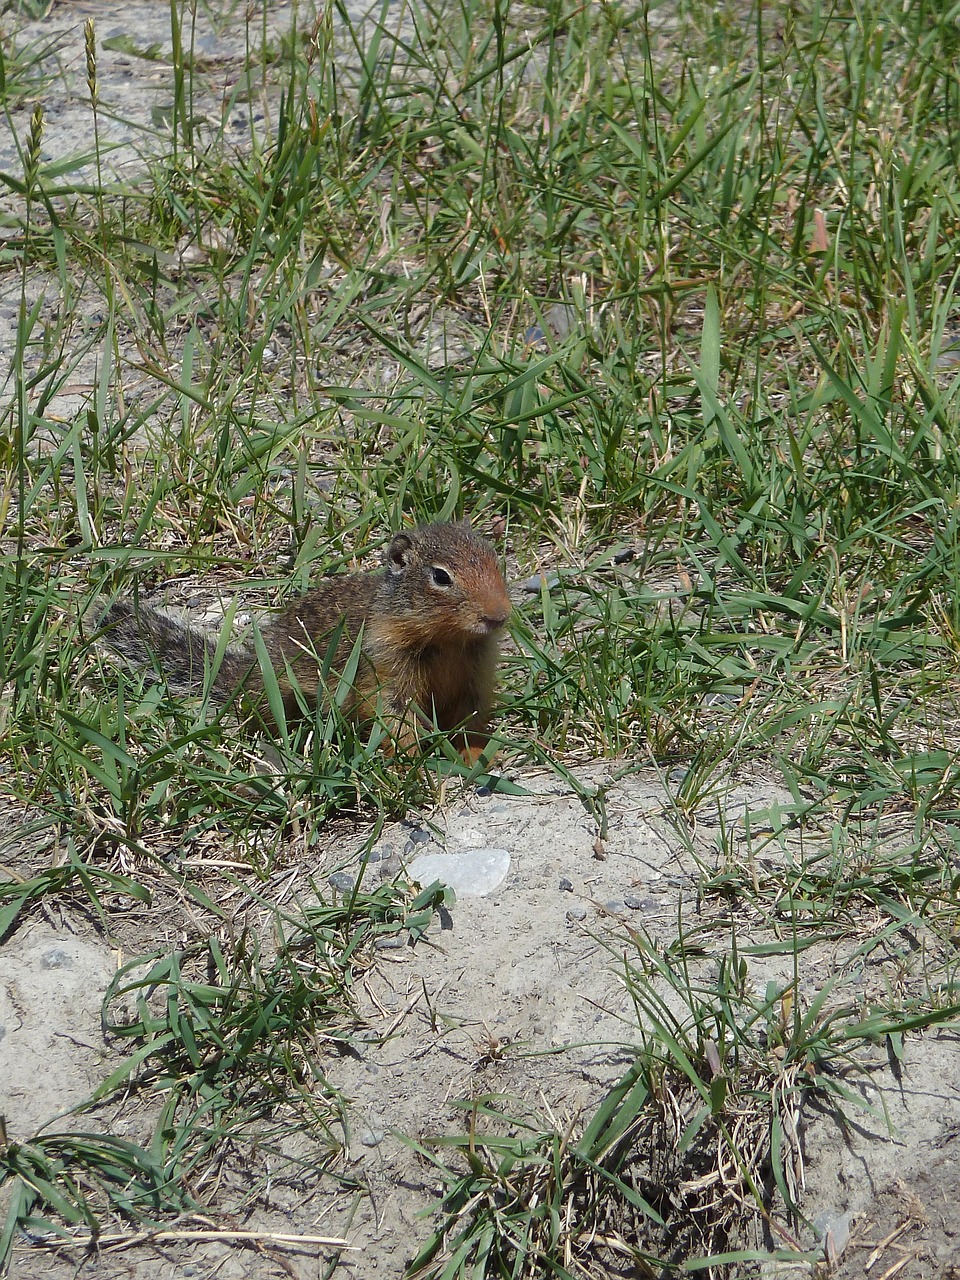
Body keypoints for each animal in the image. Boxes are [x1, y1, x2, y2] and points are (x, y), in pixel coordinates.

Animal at [101, 519, 514, 757]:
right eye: (441, 576)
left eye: (496, 560)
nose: (499, 616)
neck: (449, 641)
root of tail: (241, 673)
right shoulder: (386, 668)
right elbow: (395, 719)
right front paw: (412, 761)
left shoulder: (475, 679)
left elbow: (471, 721)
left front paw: (480, 755)